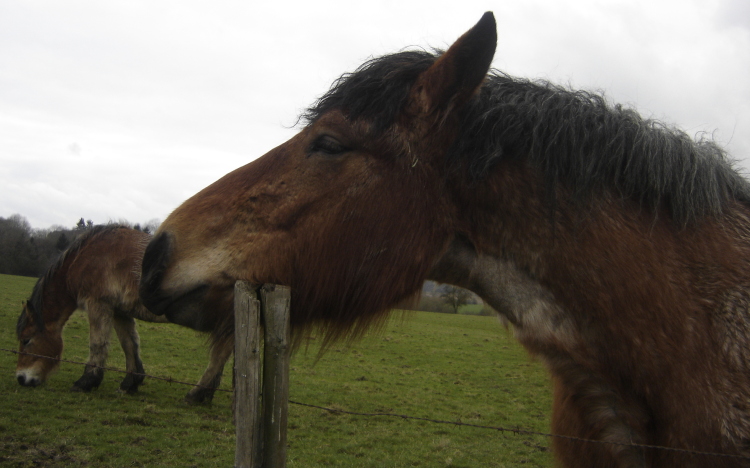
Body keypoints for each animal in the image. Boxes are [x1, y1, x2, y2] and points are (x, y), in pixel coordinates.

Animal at [15, 224, 234, 403]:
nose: (21, 378)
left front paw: (86, 382)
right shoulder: (119, 311)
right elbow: (129, 344)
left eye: (27, 340)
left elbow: (98, 343)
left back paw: (195, 395)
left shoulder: (98, 304)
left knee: (218, 357)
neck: (85, 257)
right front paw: (130, 383)